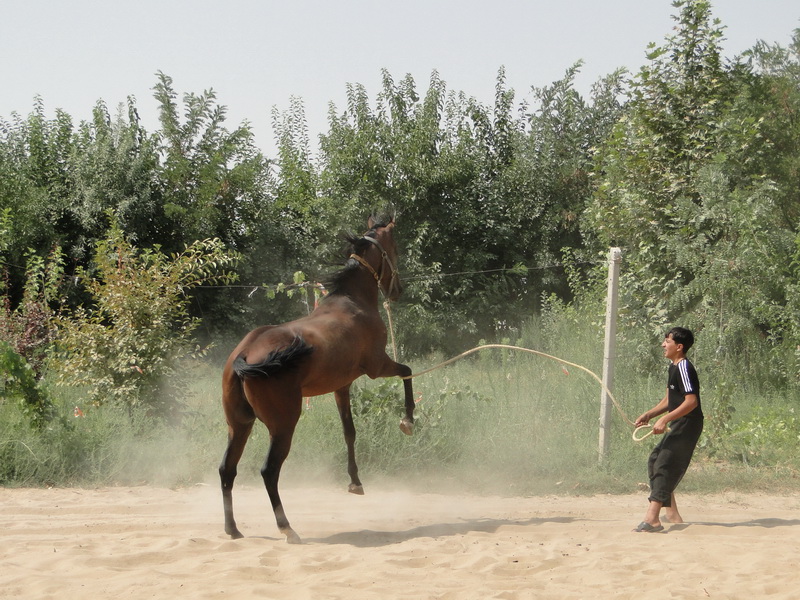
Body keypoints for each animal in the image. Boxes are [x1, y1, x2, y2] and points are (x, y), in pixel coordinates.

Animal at [220, 214, 418, 544]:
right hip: (283, 425)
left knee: (227, 470)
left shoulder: (342, 386)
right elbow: (408, 372)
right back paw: (287, 528)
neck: (352, 301)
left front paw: (355, 482)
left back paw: (232, 529)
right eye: (396, 247)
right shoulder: (378, 366)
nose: (397, 290)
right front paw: (408, 421)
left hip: (239, 425)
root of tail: (244, 353)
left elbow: (349, 432)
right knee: (269, 471)